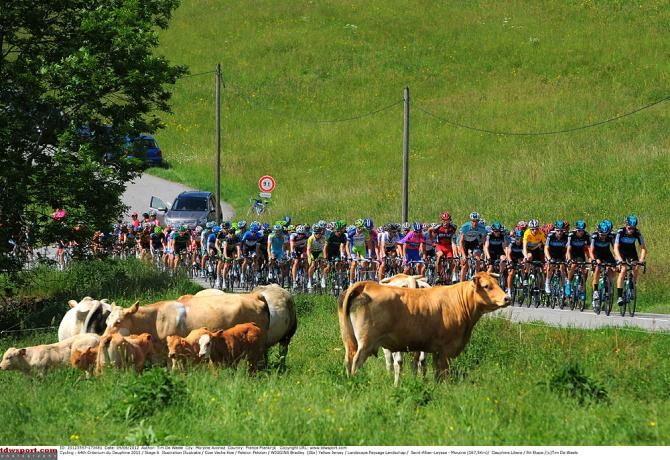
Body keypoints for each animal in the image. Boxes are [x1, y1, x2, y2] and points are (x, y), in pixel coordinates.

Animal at [338, 272, 510, 383]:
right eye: (486, 286)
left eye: (497, 283)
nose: (507, 298)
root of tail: (366, 284)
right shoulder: (446, 350)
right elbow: (443, 373)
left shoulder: (435, 350)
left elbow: (435, 371)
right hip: (366, 342)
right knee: (357, 361)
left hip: (349, 339)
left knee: (348, 359)